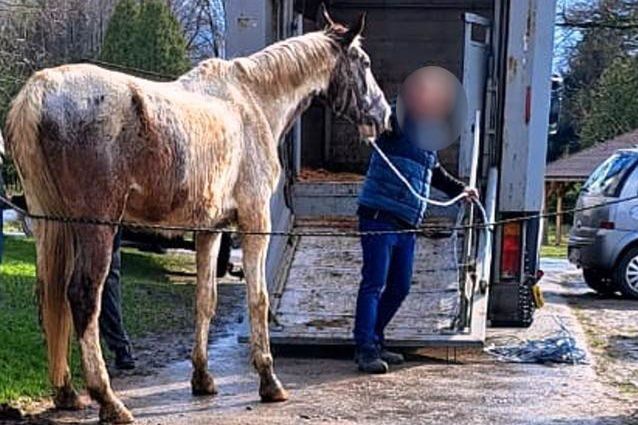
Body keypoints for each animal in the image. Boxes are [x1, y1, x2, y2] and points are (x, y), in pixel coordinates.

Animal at [6, 7, 390, 424]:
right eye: (364, 62)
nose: (383, 115)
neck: (253, 100)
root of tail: (39, 92)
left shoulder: (211, 230)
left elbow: (206, 299)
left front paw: (203, 378)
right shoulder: (256, 223)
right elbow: (258, 299)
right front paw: (269, 381)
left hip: (53, 226)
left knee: (51, 295)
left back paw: (66, 393)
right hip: (97, 229)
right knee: (83, 297)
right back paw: (109, 401)